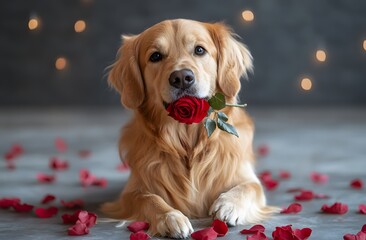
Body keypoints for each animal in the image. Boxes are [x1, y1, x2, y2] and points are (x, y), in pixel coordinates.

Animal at [101, 19, 276, 238]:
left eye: (199, 50)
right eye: (155, 56)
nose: (182, 77)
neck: (187, 140)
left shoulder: (246, 177)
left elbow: (249, 187)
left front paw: (229, 205)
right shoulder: (131, 192)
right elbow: (148, 198)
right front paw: (170, 217)